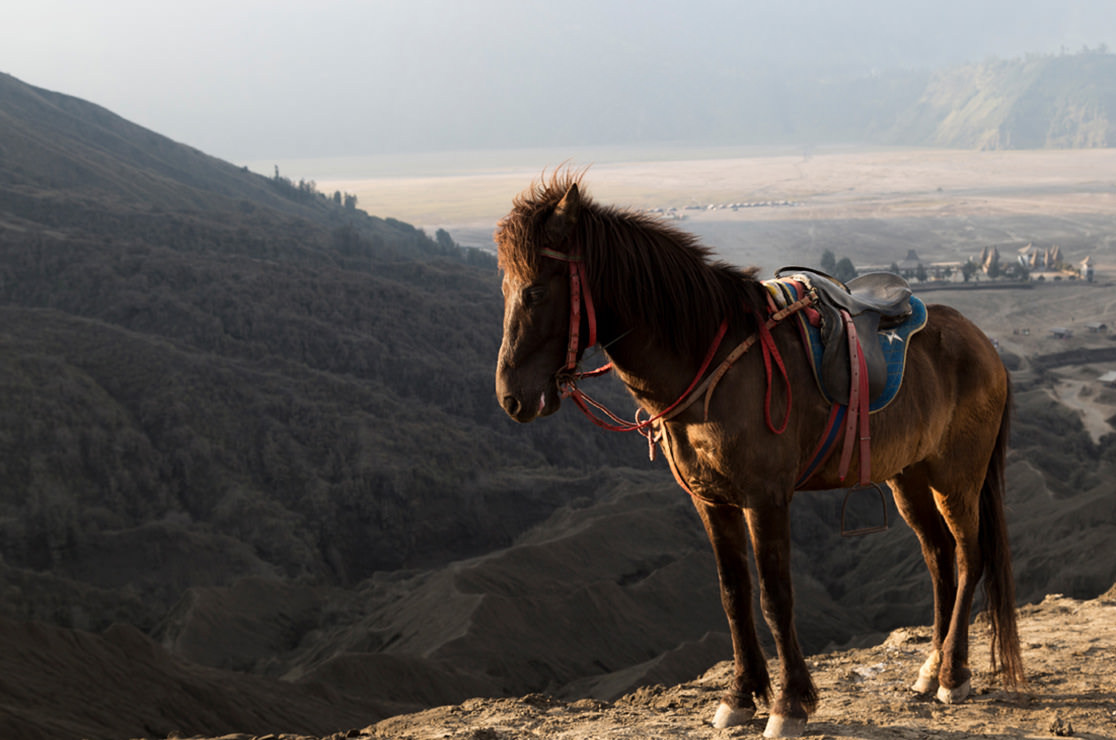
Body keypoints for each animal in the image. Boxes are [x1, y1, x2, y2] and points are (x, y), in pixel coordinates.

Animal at [493, 171, 1024, 738]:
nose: (511, 398)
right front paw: (741, 696)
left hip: (956, 478)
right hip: (909, 476)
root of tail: (983, 343)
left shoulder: (765, 499)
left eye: (536, 290)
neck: (708, 361)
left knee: (968, 556)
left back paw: (954, 674)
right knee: (939, 559)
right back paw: (930, 668)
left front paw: (789, 704)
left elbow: (774, 597)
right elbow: (734, 596)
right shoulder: (712, 501)